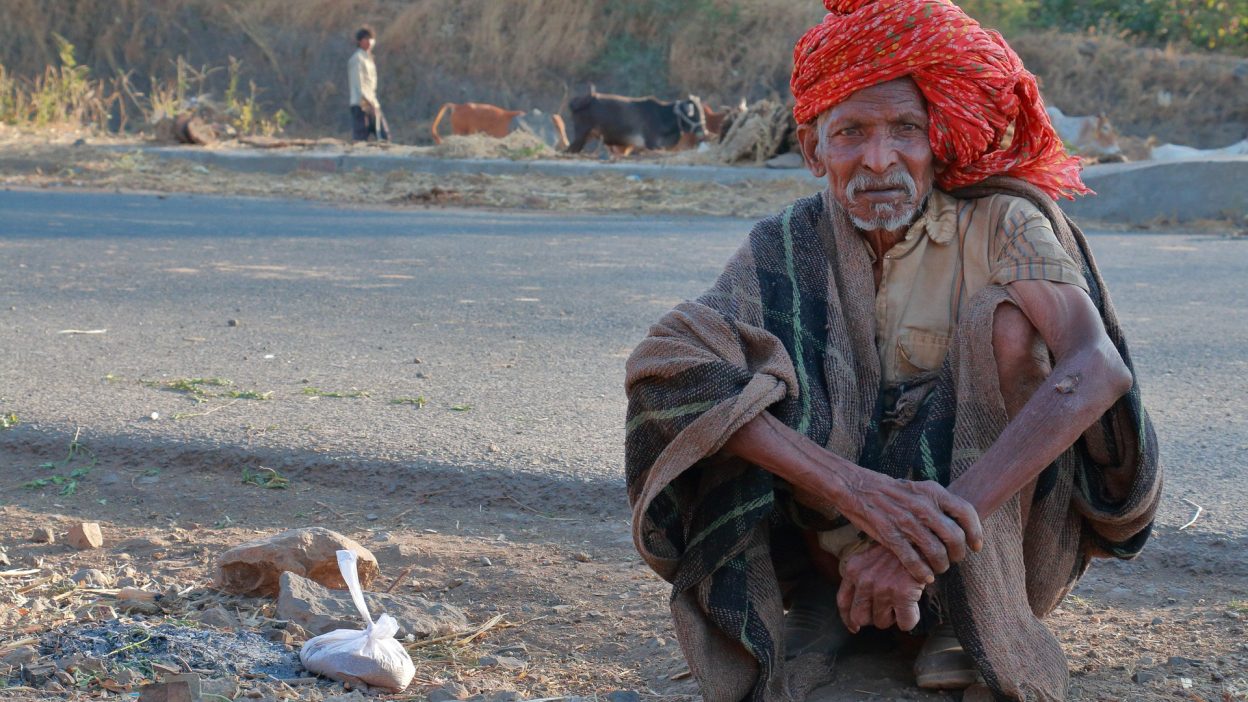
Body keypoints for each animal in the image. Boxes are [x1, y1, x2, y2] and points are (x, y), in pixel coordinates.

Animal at [564, 89, 703, 154]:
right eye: (694, 115)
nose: (704, 131)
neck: (663, 115)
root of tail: (575, 103)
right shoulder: (652, 145)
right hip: (581, 135)